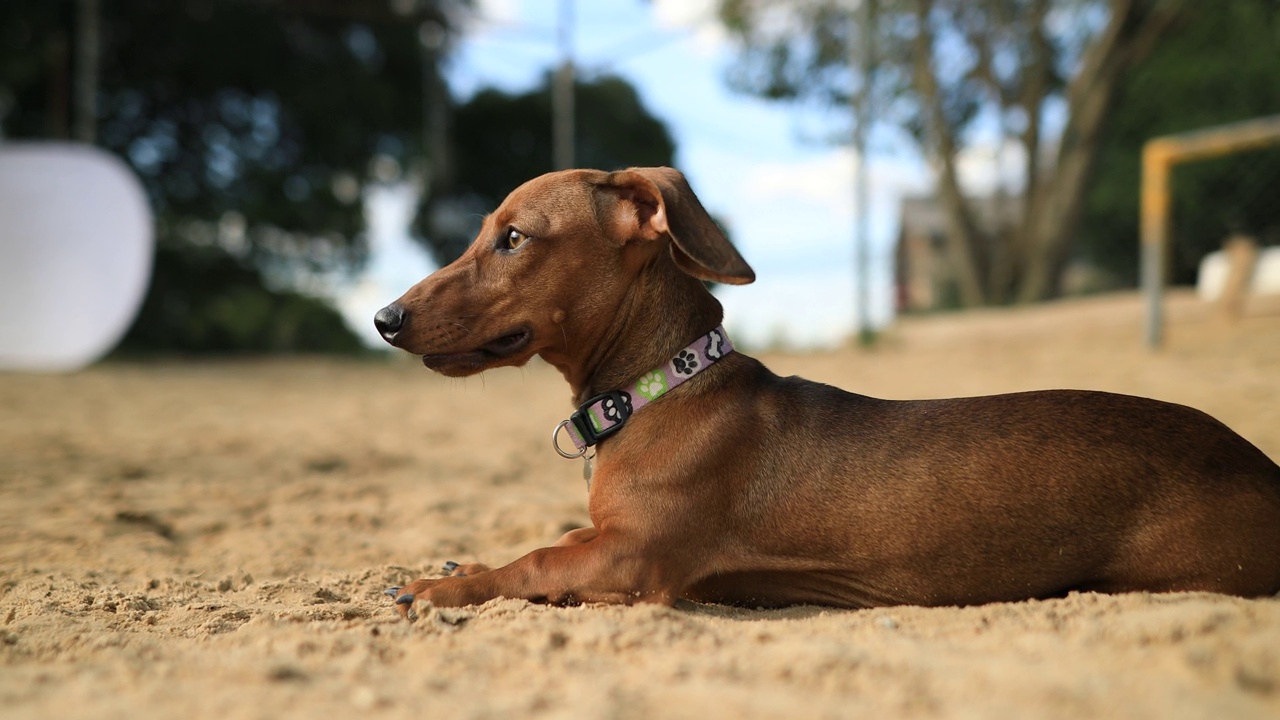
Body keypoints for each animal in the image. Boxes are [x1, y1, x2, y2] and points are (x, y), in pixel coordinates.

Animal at [373, 165, 1280, 614]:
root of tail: (1261, 467)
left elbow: (536, 562)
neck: (662, 389)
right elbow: (552, 539)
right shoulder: (605, 538)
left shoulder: (636, 561)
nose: (383, 318)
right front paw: (460, 560)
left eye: (514, 238)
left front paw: (445, 588)